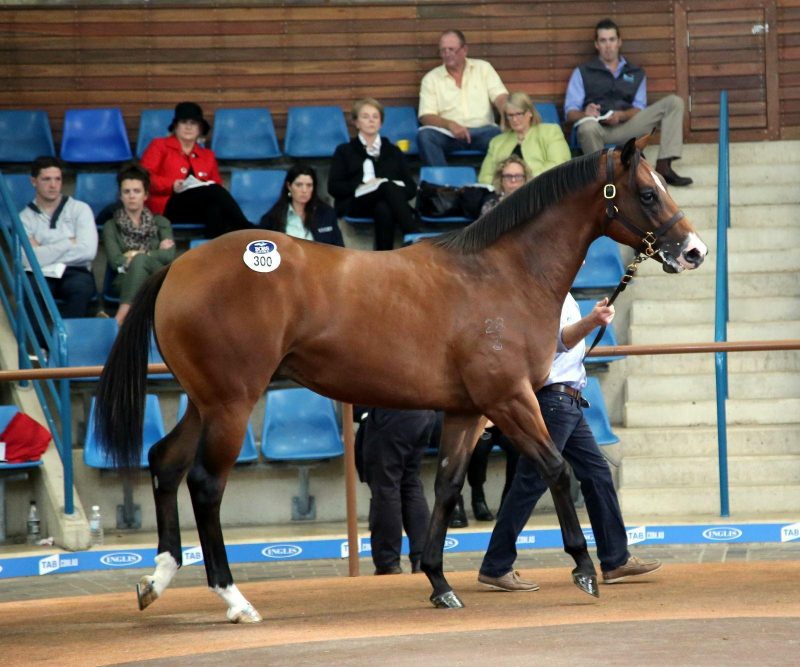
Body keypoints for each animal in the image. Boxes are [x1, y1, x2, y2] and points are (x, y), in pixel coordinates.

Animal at [95, 137, 708, 628]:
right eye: (646, 193)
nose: (694, 250)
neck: (502, 274)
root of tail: (177, 266)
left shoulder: (467, 410)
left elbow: (448, 486)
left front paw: (439, 583)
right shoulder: (510, 399)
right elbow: (556, 469)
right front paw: (583, 569)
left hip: (204, 402)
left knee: (165, 461)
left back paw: (156, 581)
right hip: (231, 404)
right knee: (204, 484)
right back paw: (234, 600)